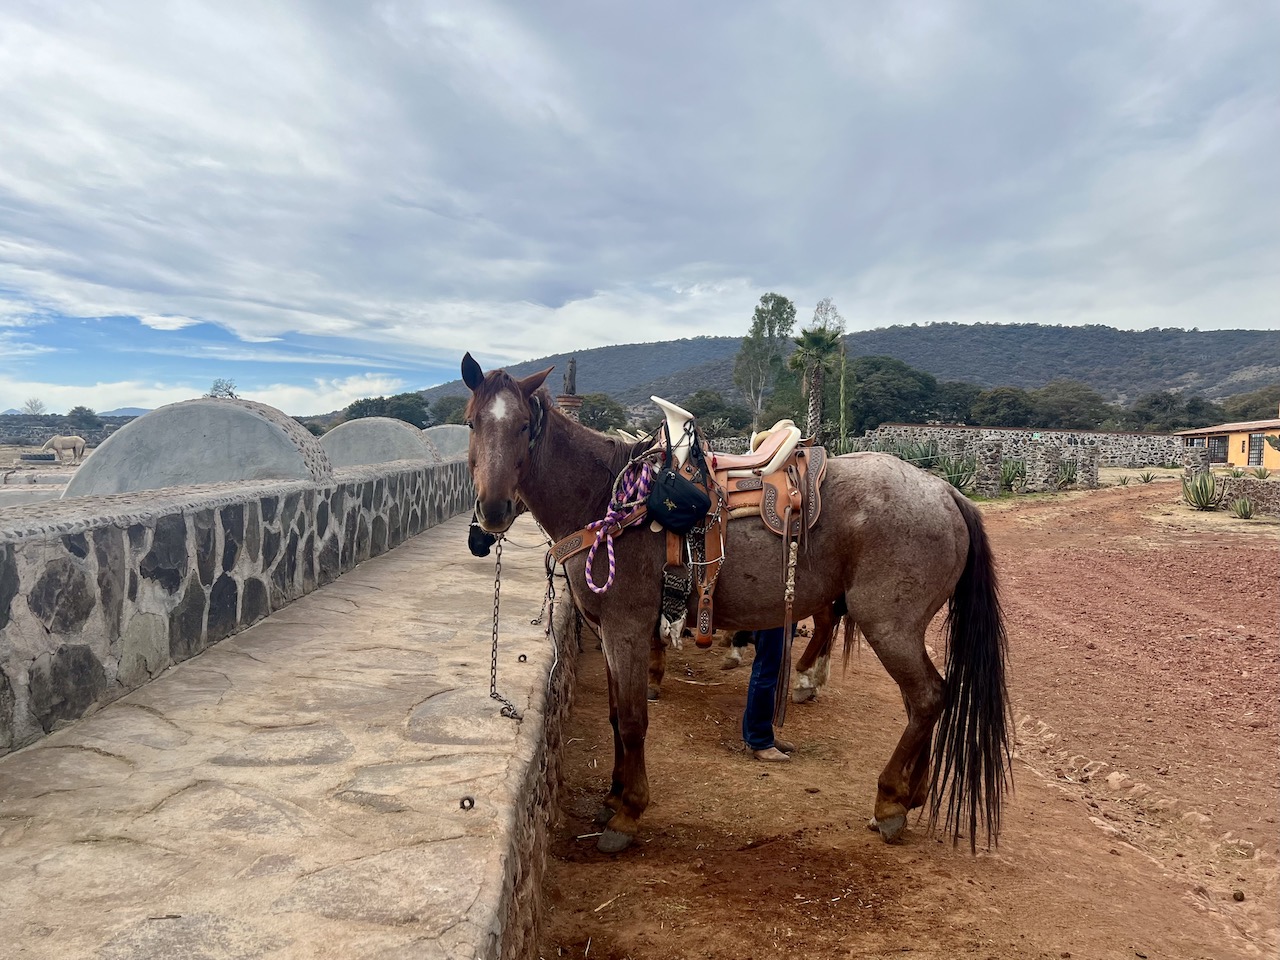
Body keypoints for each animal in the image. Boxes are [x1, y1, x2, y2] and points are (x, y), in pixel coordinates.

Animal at [461, 354, 1011, 854]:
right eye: (472, 422)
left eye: (525, 426)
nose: (492, 511)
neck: (607, 501)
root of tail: (945, 492)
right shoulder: (613, 633)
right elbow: (617, 716)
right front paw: (613, 797)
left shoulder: (625, 629)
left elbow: (634, 720)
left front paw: (627, 813)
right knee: (924, 700)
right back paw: (912, 793)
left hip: (889, 624)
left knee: (928, 697)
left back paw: (890, 801)